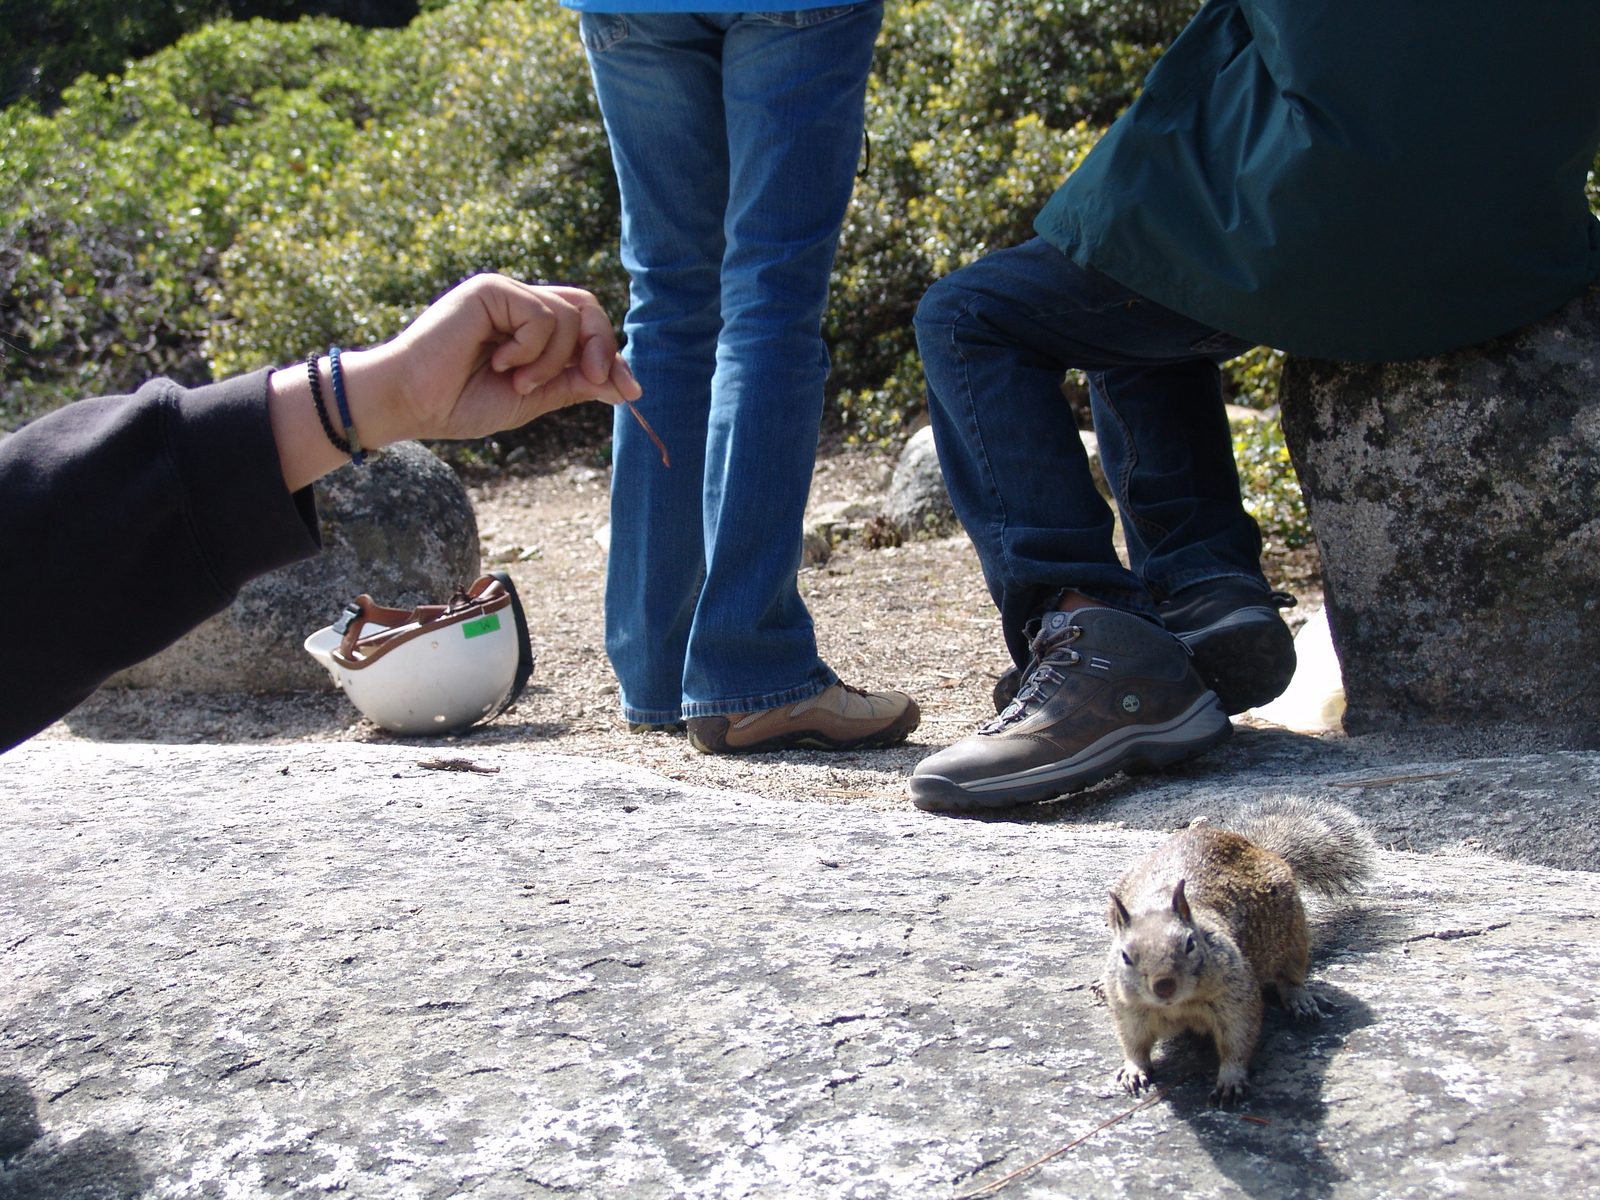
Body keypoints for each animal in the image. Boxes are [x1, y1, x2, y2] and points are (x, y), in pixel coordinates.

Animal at [1102, 797, 1376, 1106]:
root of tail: (1257, 847)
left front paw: (1230, 1080)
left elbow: (1239, 1040)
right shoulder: (1128, 1009)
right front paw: (1133, 1069)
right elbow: (1133, 1042)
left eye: (1191, 943)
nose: (1163, 986)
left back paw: (1301, 999)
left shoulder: (1237, 998)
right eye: (1124, 956)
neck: (1179, 1007)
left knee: (1290, 976)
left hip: (1294, 936)